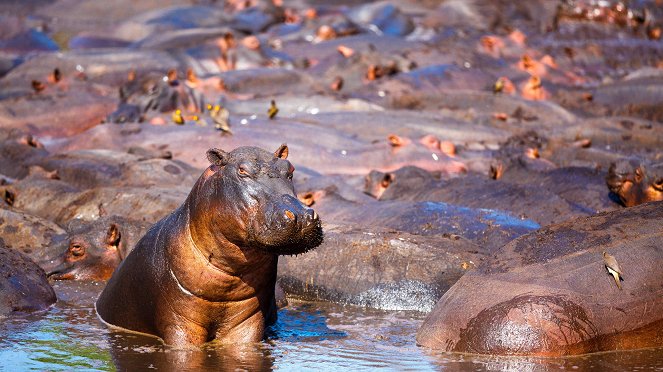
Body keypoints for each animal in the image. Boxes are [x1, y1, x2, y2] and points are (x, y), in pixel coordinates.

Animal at [96, 145, 324, 346]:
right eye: (242, 170)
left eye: (290, 169)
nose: (301, 216)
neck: (230, 273)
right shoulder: (180, 323)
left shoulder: (247, 322)